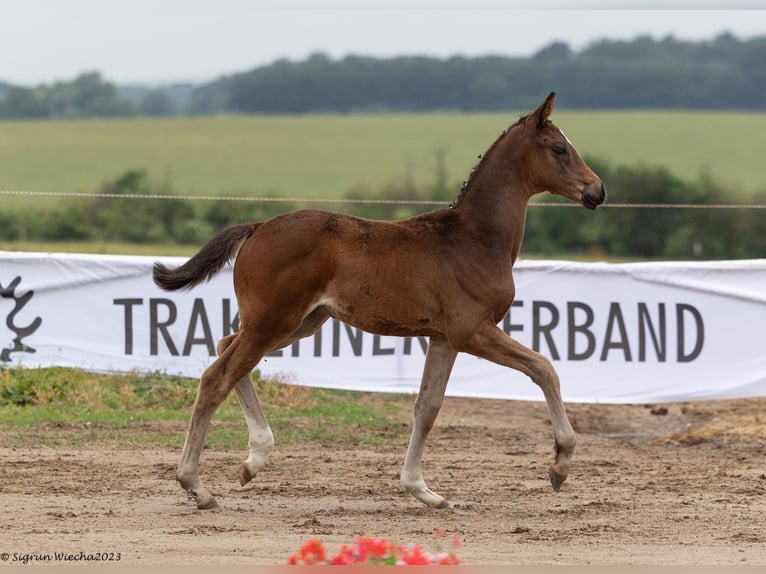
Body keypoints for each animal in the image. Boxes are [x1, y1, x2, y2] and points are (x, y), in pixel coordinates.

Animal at [153, 92, 608, 510]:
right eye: (559, 148)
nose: (598, 191)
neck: (474, 240)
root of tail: (258, 225)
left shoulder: (444, 338)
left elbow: (428, 406)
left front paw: (422, 490)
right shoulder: (473, 331)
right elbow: (544, 368)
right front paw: (560, 466)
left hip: (300, 322)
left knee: (225, 349)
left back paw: (253, 459)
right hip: (274, 322)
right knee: (217, 376)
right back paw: (197, 486)